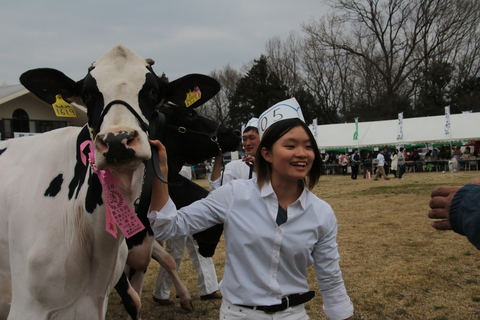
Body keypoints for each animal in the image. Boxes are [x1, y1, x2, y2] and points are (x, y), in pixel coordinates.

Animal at [0, 45, 227, 320]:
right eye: (88, 94)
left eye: (153, 91)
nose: (118, 140)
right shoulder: (29, 306)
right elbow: (134, 297)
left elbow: (145, 286)